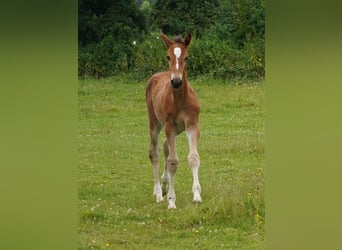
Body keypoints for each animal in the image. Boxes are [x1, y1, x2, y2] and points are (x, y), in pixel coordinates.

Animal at [146, 30, 202, 209]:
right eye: (168, 57)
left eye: (187, 57)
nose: (176, 81)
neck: (180, 100)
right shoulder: (169, 126)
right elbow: (172, 162)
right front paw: (171, 200)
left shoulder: (192, 125)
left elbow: (193, 158)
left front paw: (197, 195)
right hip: (155, 123)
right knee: (155, 152)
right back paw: (158, 193)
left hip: (177, 129)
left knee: (164, 146)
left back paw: (164, 185)